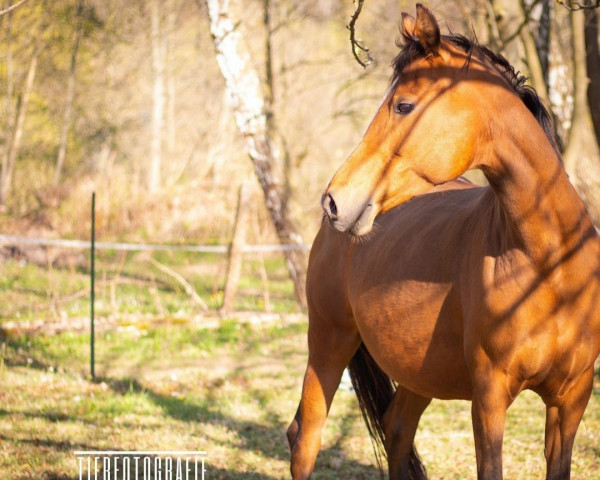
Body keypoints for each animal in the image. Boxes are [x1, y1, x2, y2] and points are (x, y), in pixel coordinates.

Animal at [286, 3, 600, 480]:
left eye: (404, 105)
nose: (334, 200)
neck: (552, 266)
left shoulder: (572, 399)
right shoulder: (490, 397)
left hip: (417, 371)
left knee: (396, 429)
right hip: (328, 340)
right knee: (306, 438)